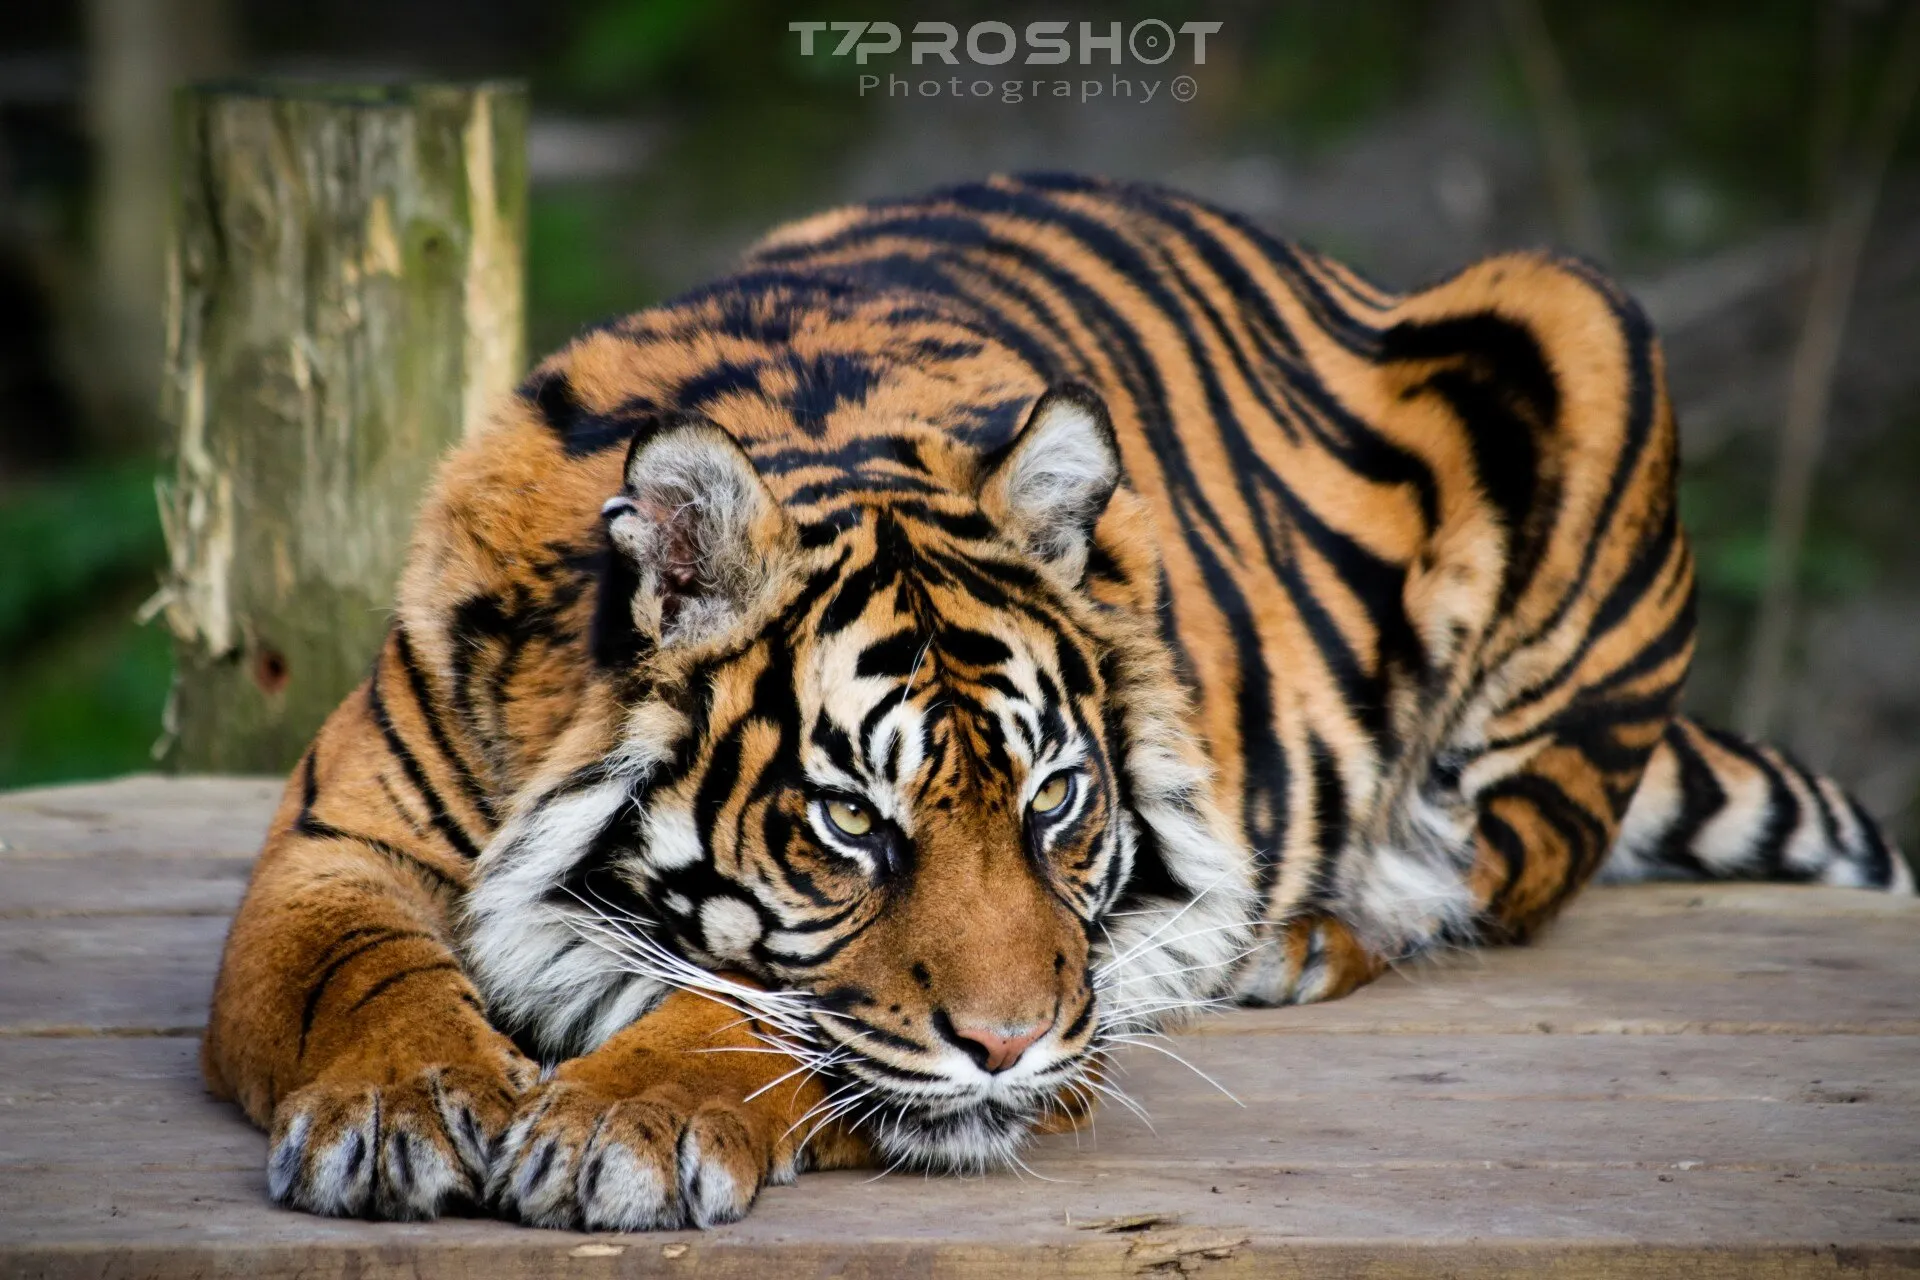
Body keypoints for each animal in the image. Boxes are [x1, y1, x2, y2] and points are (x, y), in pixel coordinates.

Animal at [201, 173, 1912, 1232]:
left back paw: (1308, 935)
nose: (1015, 1049)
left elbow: (758, 1012)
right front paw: (400, 1115)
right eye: (848, 823)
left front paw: (623, 1122)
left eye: (1057, 802)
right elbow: (355, 979)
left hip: (1576, 324)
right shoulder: (334, 846)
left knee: (1505, 854)